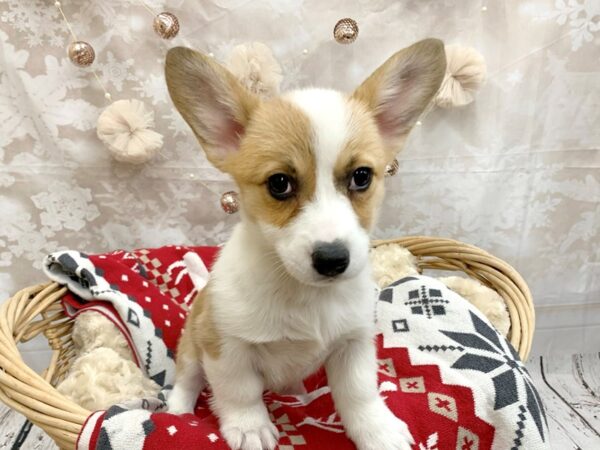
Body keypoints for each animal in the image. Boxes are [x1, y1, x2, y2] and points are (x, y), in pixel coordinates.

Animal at [164, 38, 446, 450]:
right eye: (279, 183)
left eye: (362, 177)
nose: (332, 259)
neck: (306, 296)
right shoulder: (226, 346)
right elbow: (239, 391)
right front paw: (250, 427)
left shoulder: (354, 344)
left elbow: (359, 393)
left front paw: (377, 431)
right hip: (191, 345)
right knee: (187, 379)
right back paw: (176, 410)